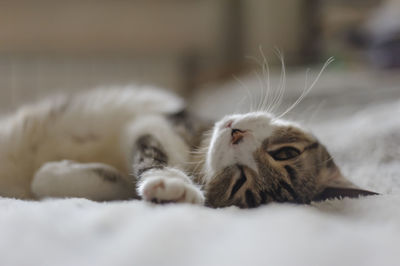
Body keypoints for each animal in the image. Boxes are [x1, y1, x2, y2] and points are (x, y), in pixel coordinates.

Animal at [0, 84, 376, 207]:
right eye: (286, 152)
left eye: (240, 182)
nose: (236, 134)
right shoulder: (162, 121)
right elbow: (158, 153)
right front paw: (172, 182)